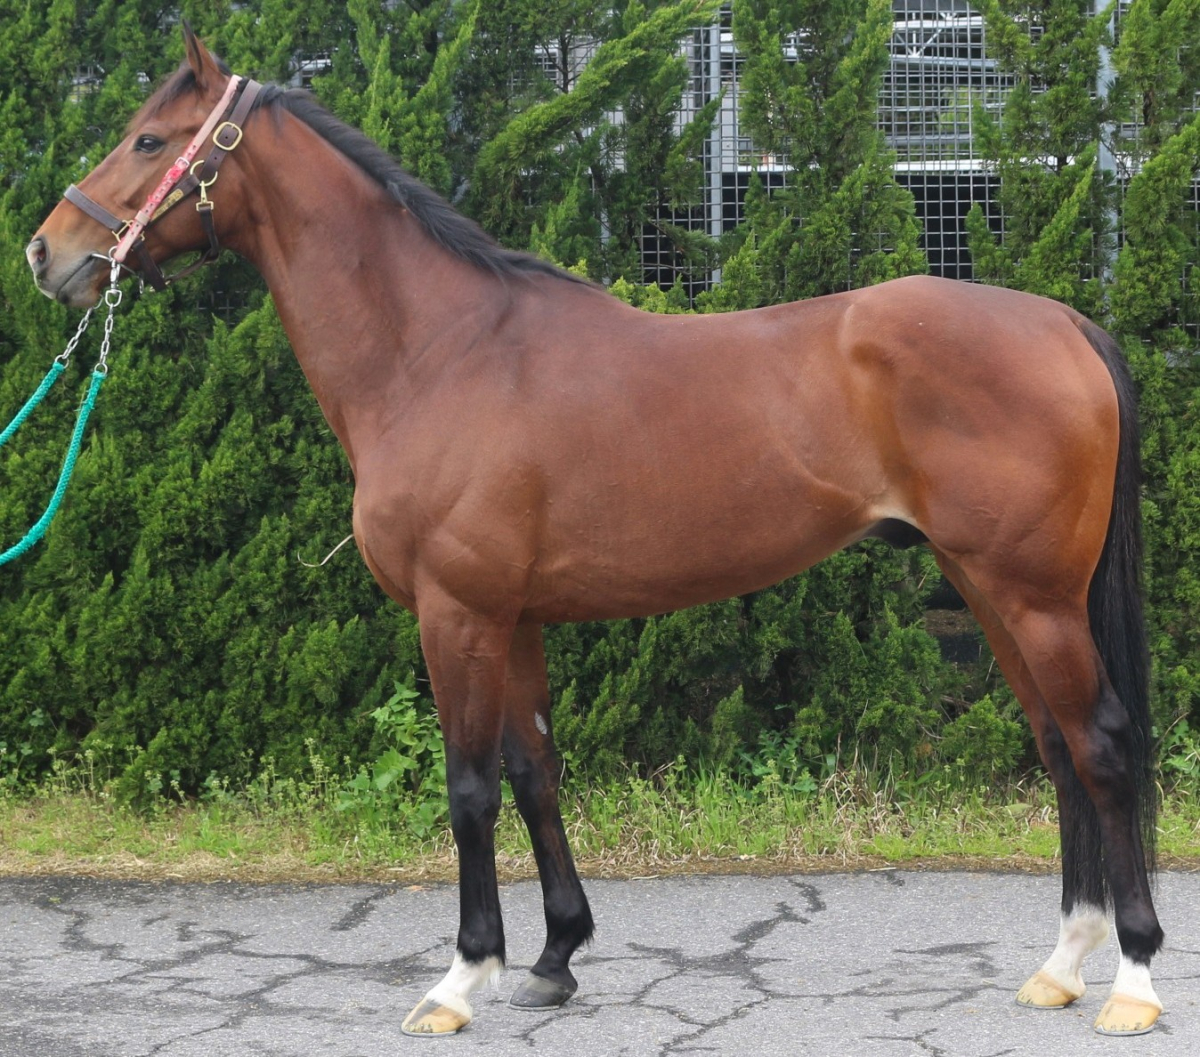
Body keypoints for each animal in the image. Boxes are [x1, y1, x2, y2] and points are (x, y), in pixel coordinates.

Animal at [25, 27, 1164, 1038]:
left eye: (147, 138)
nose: (49, 251)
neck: (439, 351)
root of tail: (1062, 322)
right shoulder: (515, 616)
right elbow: (536, 773)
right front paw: (555, 956)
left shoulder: (457, 612)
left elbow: (470, 788)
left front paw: (460, 977)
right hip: (990, 589)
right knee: (1059, 748)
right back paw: (1061, 966)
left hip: (1030, 594)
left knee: (1102, 747)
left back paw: (1134, 980)